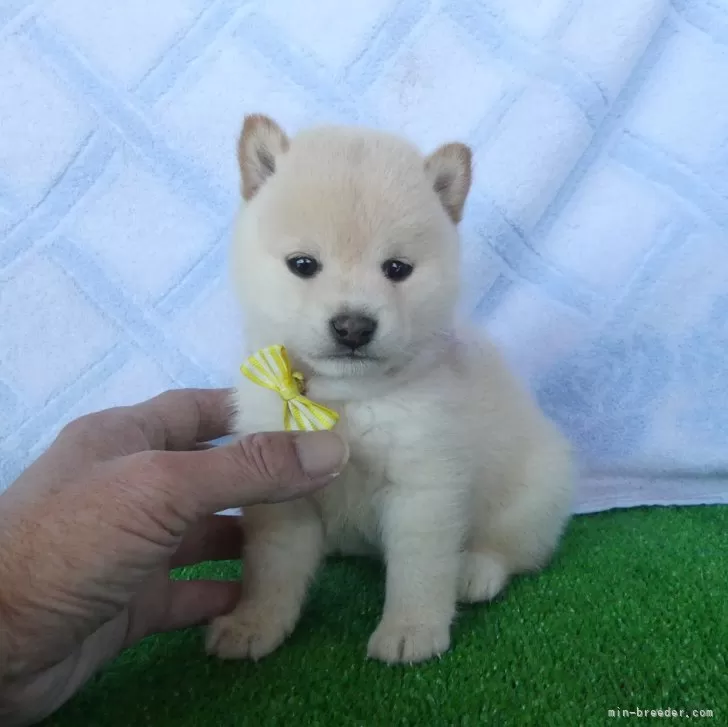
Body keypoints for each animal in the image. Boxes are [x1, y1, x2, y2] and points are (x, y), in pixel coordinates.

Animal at [206, 115, 576, 664]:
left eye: (397, 269)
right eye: (303, 264)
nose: (354, 326)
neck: (341, 399)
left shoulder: (422, 487)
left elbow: (418, 571)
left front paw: (411, 630)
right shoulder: (283, 498)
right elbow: (272, 570)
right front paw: (254, 624)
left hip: (531, 494)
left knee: (511, 549)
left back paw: (476, 571)